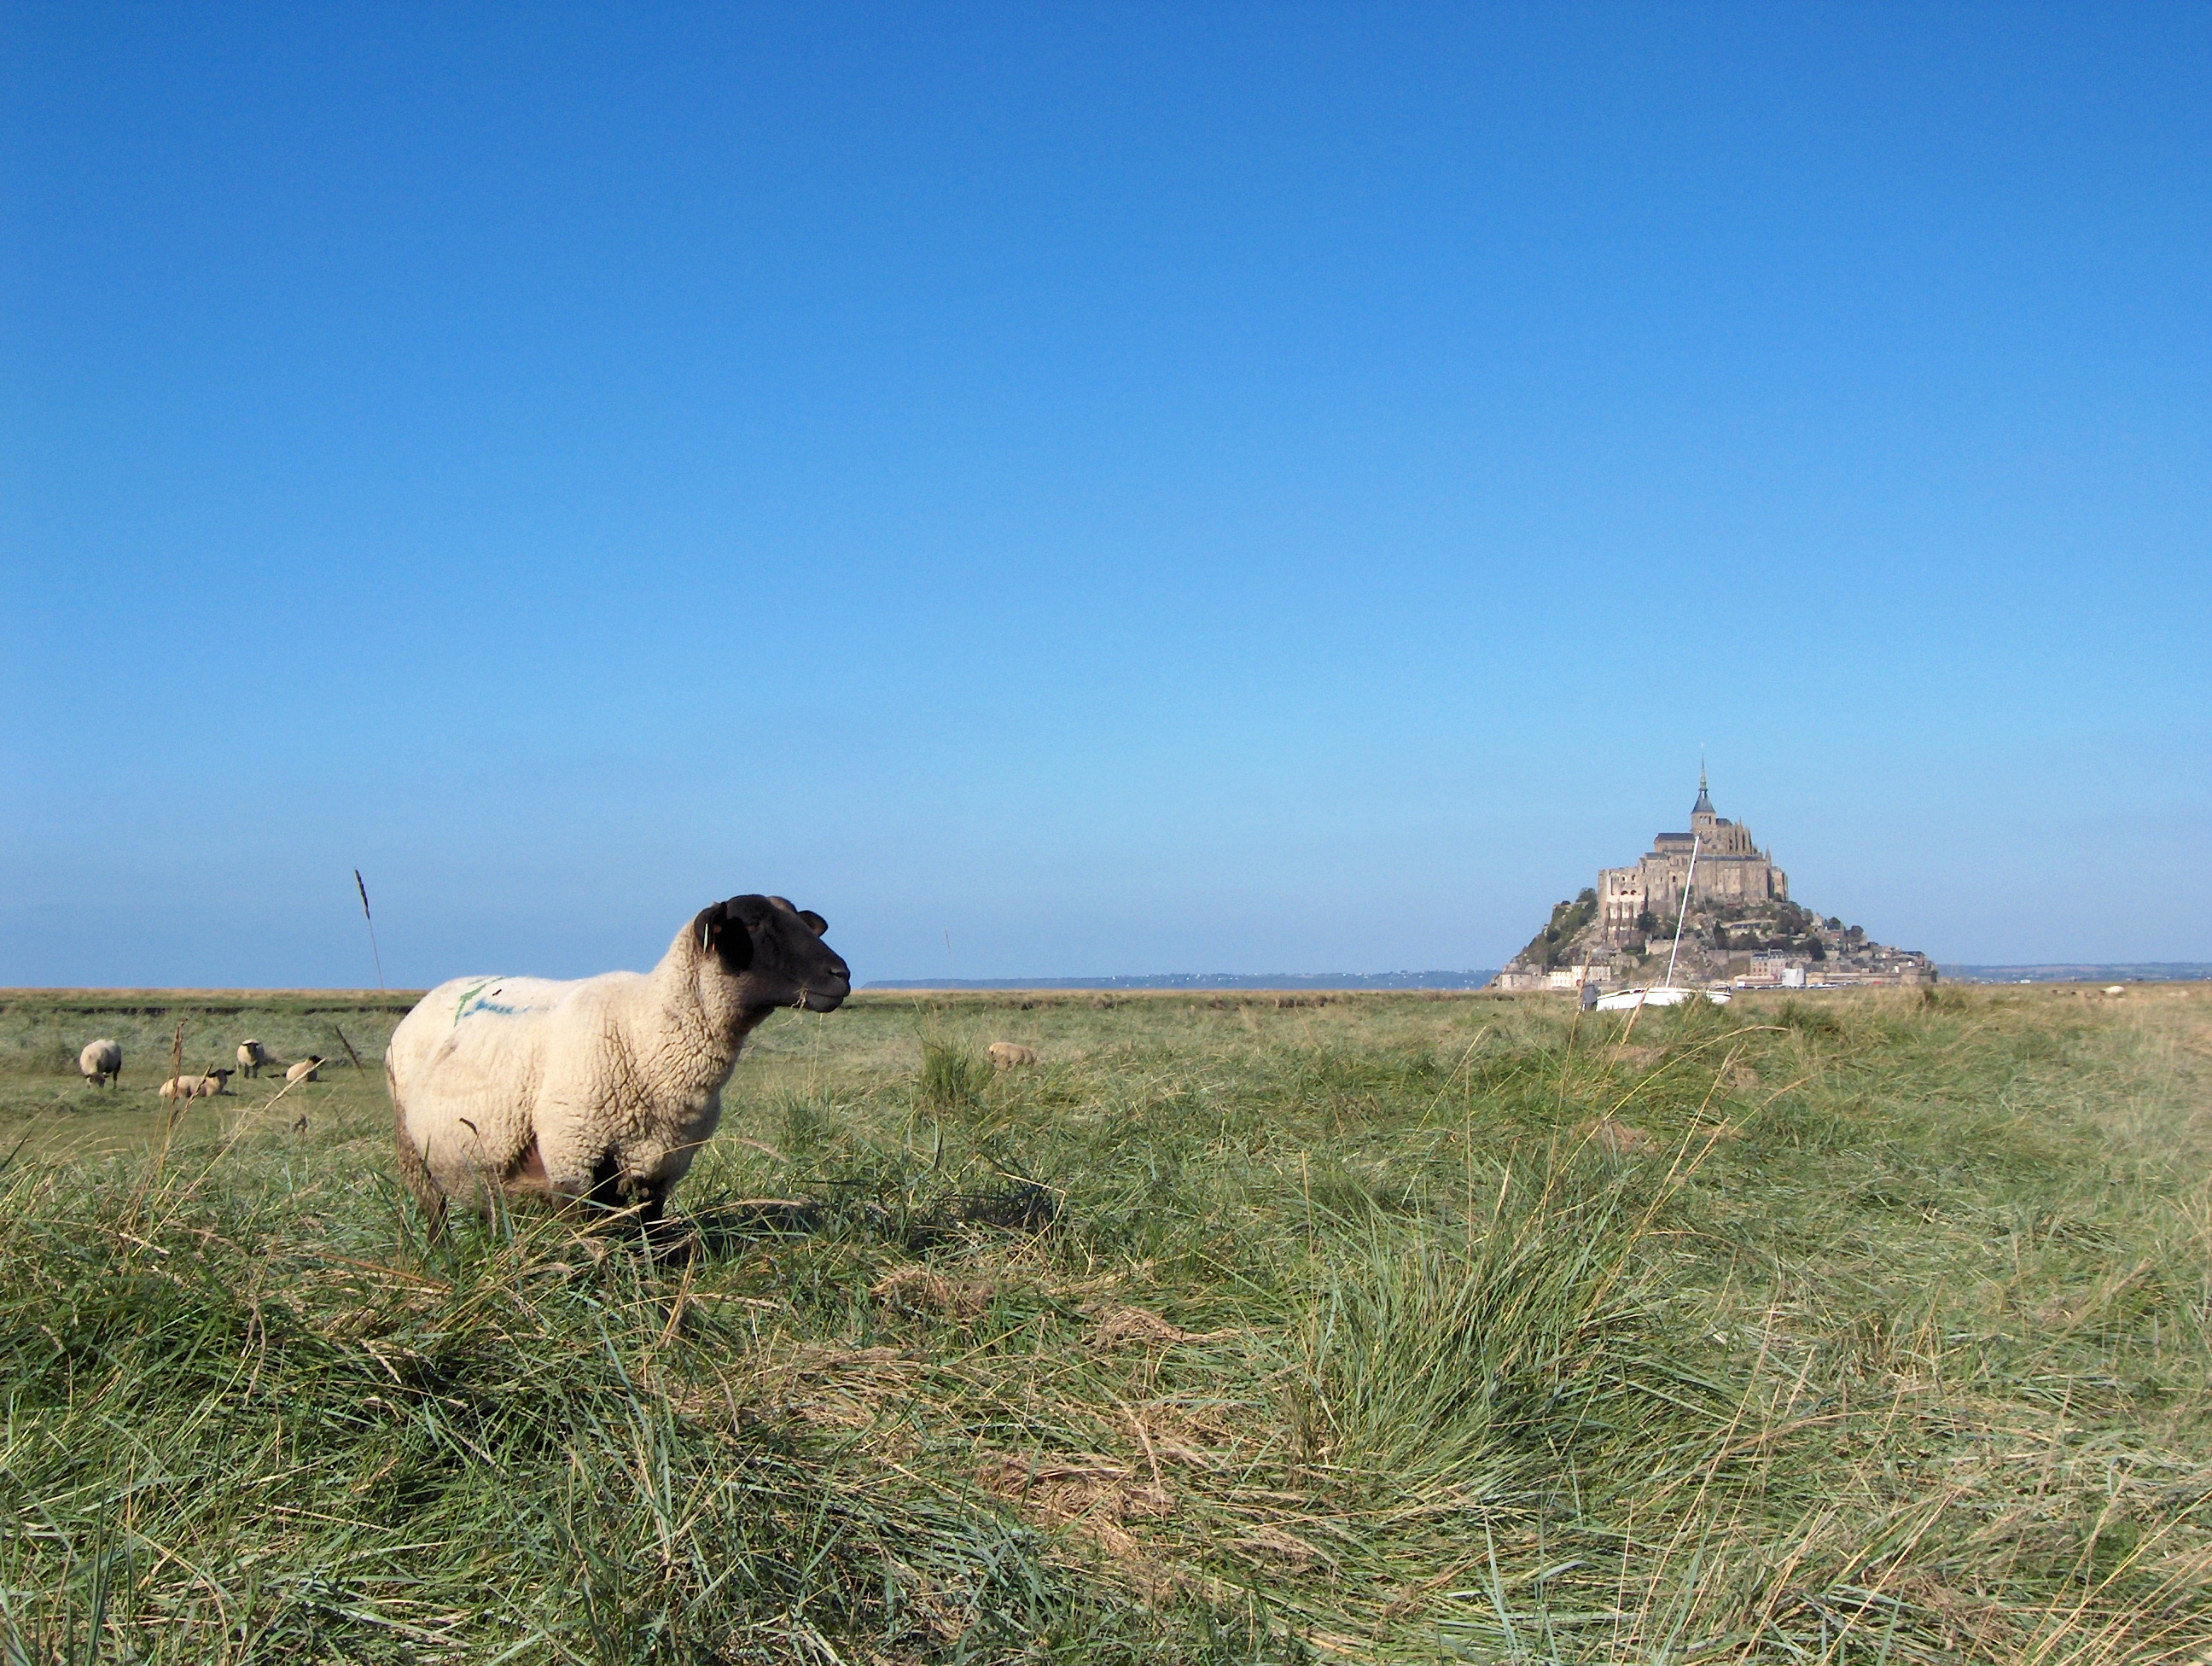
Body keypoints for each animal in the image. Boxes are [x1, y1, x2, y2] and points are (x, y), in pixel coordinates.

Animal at [385, 894, 850, 1233]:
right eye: (752, 924)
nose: (841, 974)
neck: (643, 1029)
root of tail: (434, 993)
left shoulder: (661, 1169)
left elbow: (650, 1241)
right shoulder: (571, 1161)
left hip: (478, 1164)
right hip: (414, 1154)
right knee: (434, 1216)